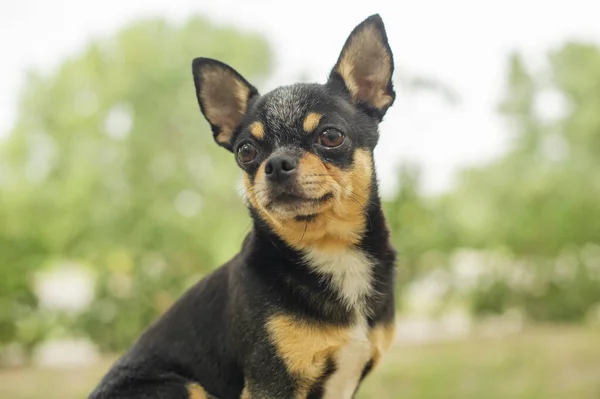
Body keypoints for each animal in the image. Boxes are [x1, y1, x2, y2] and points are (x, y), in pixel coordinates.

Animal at [88, 13, 398, 399]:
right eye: (246, 151)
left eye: (330, 136)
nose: (276, 163)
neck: (331, 250)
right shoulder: (271, 382)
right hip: (181, 386)